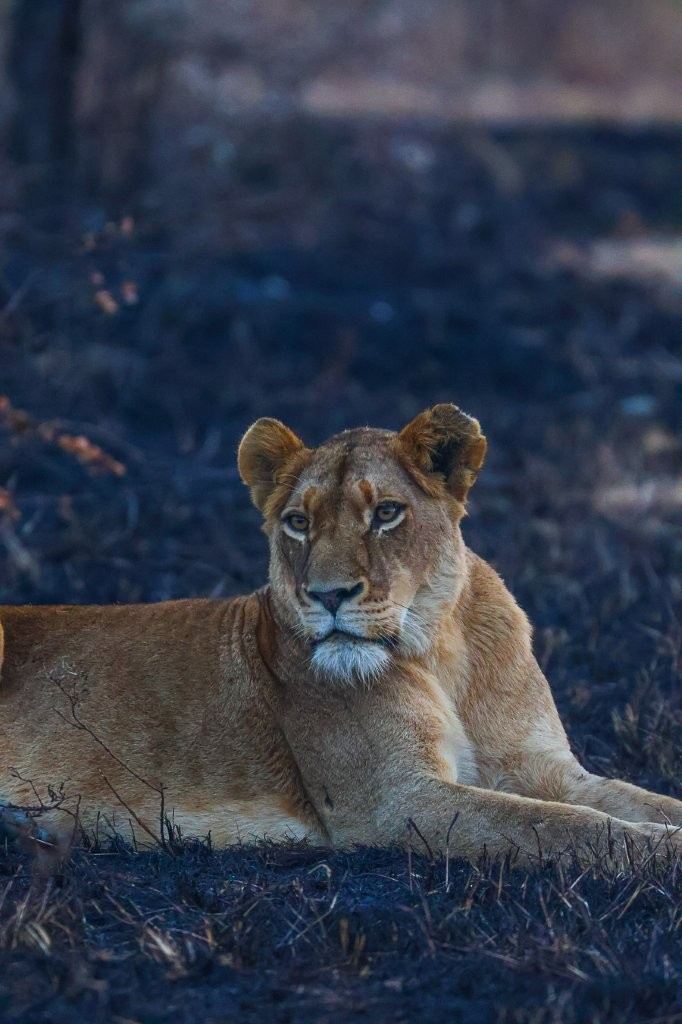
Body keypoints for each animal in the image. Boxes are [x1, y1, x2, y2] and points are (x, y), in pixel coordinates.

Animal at [0, 404, 680, 865]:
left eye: (386, 513)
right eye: (298, 522)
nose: (328, 595)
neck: (443, 653)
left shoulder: (546, 768)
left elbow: (628, 803)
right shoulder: (398, 803)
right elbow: (566, 827)